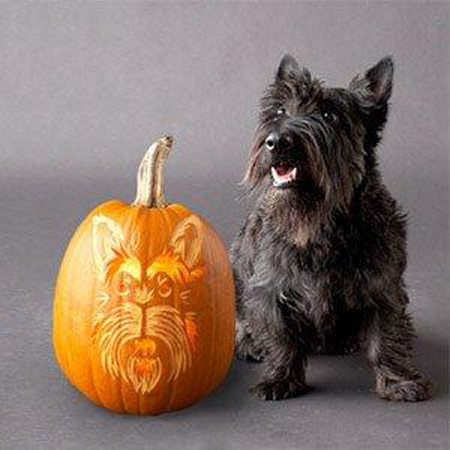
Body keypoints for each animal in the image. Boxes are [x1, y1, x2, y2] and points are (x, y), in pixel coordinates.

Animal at [232, 54, 432, 402]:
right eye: (279, 111)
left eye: (329, 115)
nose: (276, 141)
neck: (319, 223)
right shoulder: (270, 289)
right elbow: (280, 336)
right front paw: (279, 379)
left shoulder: (384, 288)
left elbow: (387, 338)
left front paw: (399, 382)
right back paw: (249, 344)